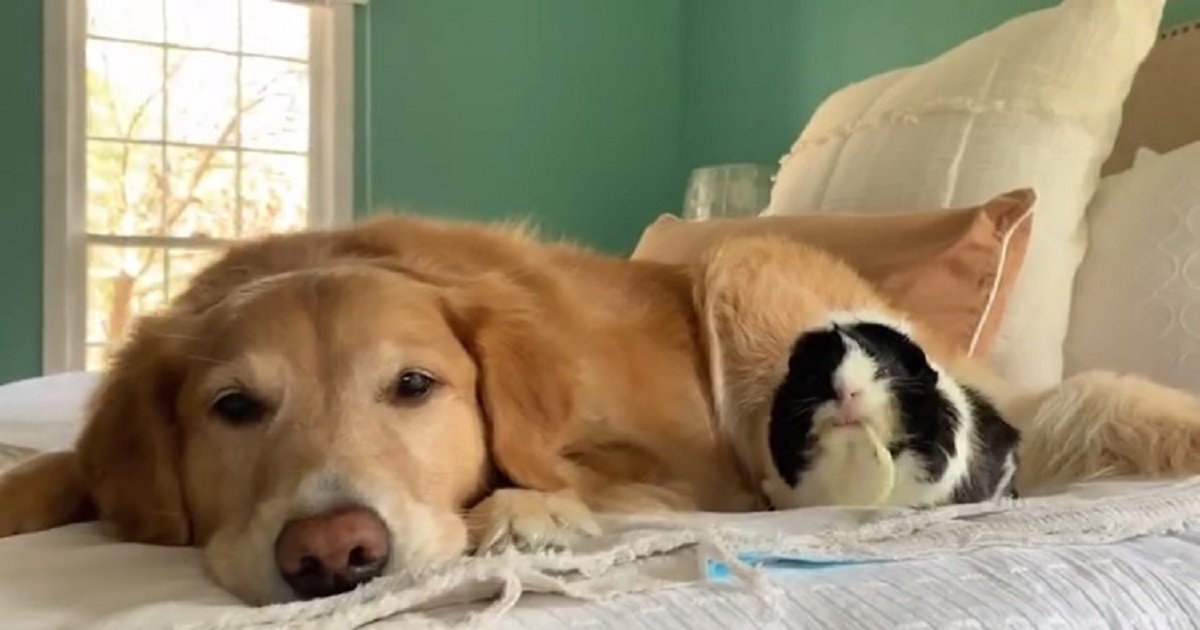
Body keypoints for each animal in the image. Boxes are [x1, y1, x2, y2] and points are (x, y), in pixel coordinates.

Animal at [0, 216, 1195, 604]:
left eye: (414, 386)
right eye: (234, 407)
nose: (333, 554)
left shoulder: (679, 465)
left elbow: (573, 477)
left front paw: (523, 512)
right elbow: (59, 471)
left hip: (744, 275)